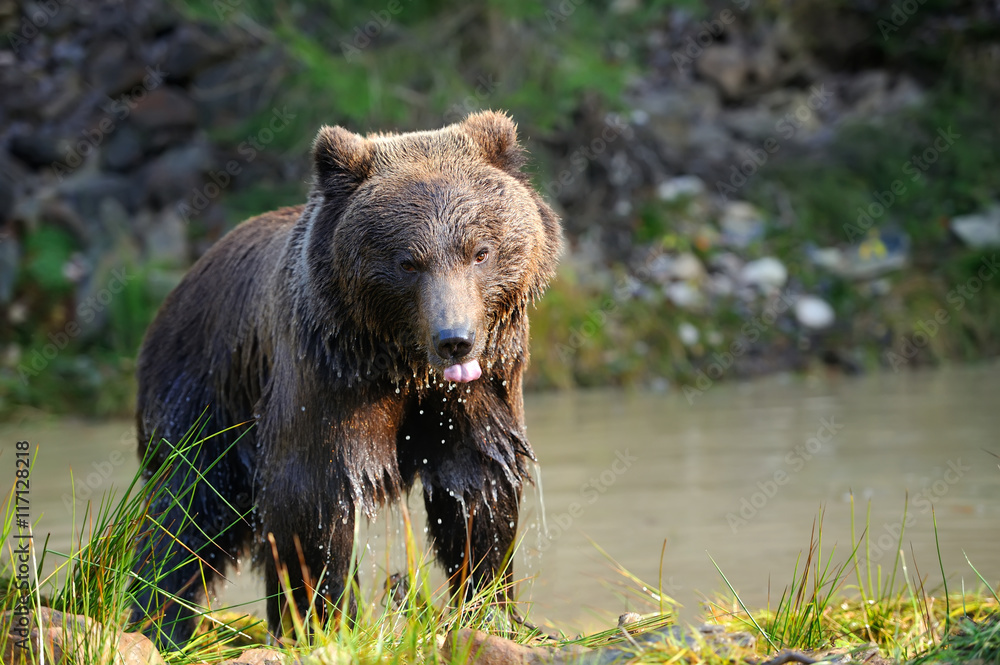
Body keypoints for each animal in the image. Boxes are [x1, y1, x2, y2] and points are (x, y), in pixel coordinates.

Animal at [131, 110, 562, 647]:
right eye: (408, 261)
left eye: (479, 252)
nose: (455, 339)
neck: (401, 364)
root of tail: (181, 286)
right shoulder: (329, 378)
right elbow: (310, 498)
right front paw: (322, 625)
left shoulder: (481, 388)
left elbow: (478, 489)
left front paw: (490, 609)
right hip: (204, 391)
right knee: (185, 509)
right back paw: (157, 619)